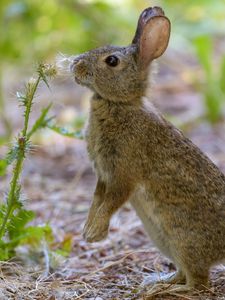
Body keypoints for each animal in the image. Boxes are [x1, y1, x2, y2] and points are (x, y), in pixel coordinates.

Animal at [70, 6, 225, 292]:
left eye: (111, 61)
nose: (76, 64)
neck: (120, 104)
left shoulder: (123, 173)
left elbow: (112, 201)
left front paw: (95, 233)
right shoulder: (103, 175)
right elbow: (97, 198)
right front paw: (88, 230)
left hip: (183, 240)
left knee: (198, 282)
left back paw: (163, 289)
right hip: (166, 243)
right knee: (185, 273)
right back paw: (157, 281)